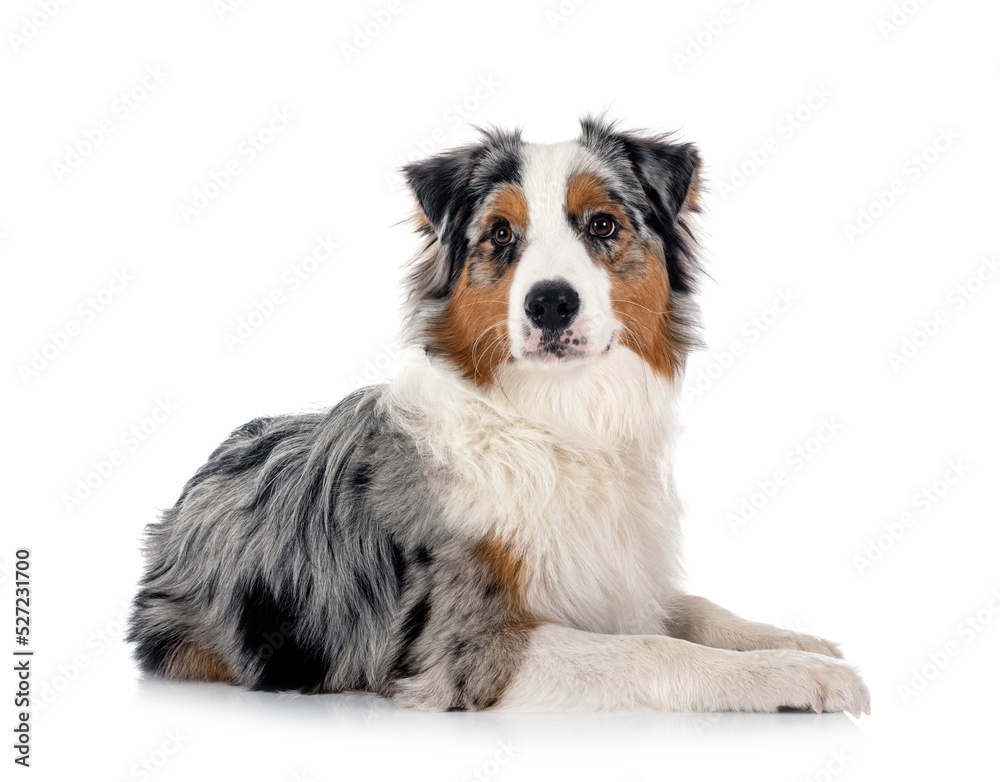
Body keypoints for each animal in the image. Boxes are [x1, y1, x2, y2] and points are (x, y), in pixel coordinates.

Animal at [129, 118, 872, 716]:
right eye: (501, 234)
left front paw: (793, 639)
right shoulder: (469, 647)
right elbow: (656, 650)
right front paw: (795, 674)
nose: (550, 303)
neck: (562, 420)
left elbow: (694, 609)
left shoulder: (622, 578)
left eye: (602, 224)